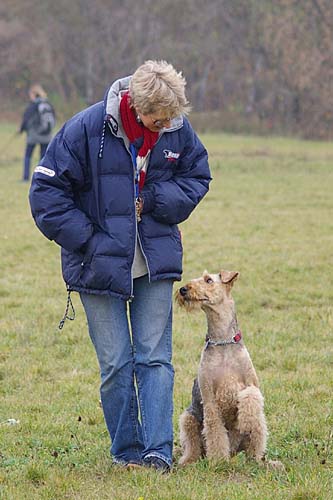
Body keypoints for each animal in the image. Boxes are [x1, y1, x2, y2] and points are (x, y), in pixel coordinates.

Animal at [175, 268, 268, 466]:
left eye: (208, 280)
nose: (183, 289)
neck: (223, 341)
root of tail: (234, 451)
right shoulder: (209, 398)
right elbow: (215, 432)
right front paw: (218, 460)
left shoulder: (251, 384)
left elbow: (250, 397)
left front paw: (246, 420)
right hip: (188, 418)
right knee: (193, 446)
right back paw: (189, 462)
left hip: (257, 433)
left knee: (255, 444)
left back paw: (263, 462)